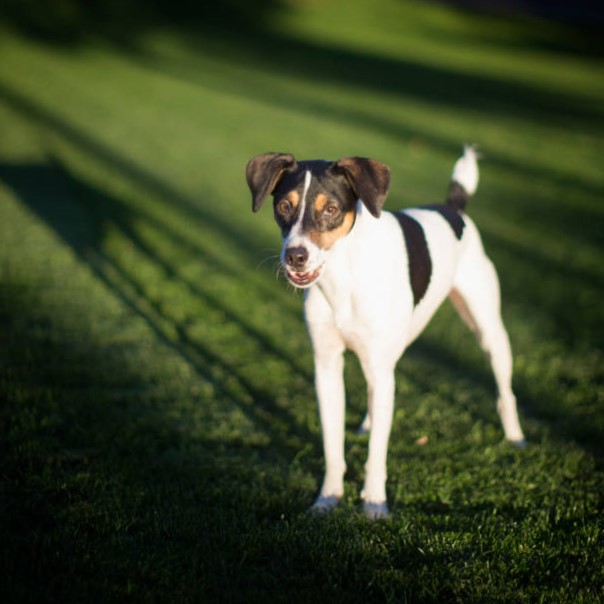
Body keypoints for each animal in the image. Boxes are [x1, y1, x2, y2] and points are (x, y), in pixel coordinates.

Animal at [244, 147, 524, 520]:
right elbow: (333, 447)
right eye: (284, 207)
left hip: (488, 329)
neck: (344, 276)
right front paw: (328, 498)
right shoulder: (327, 367)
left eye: (331, 209)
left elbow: (377, 453)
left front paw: (375, 503)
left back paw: (515, 436)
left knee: (504, 389)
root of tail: (454, 207)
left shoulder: (377, 364)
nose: (295, 257)